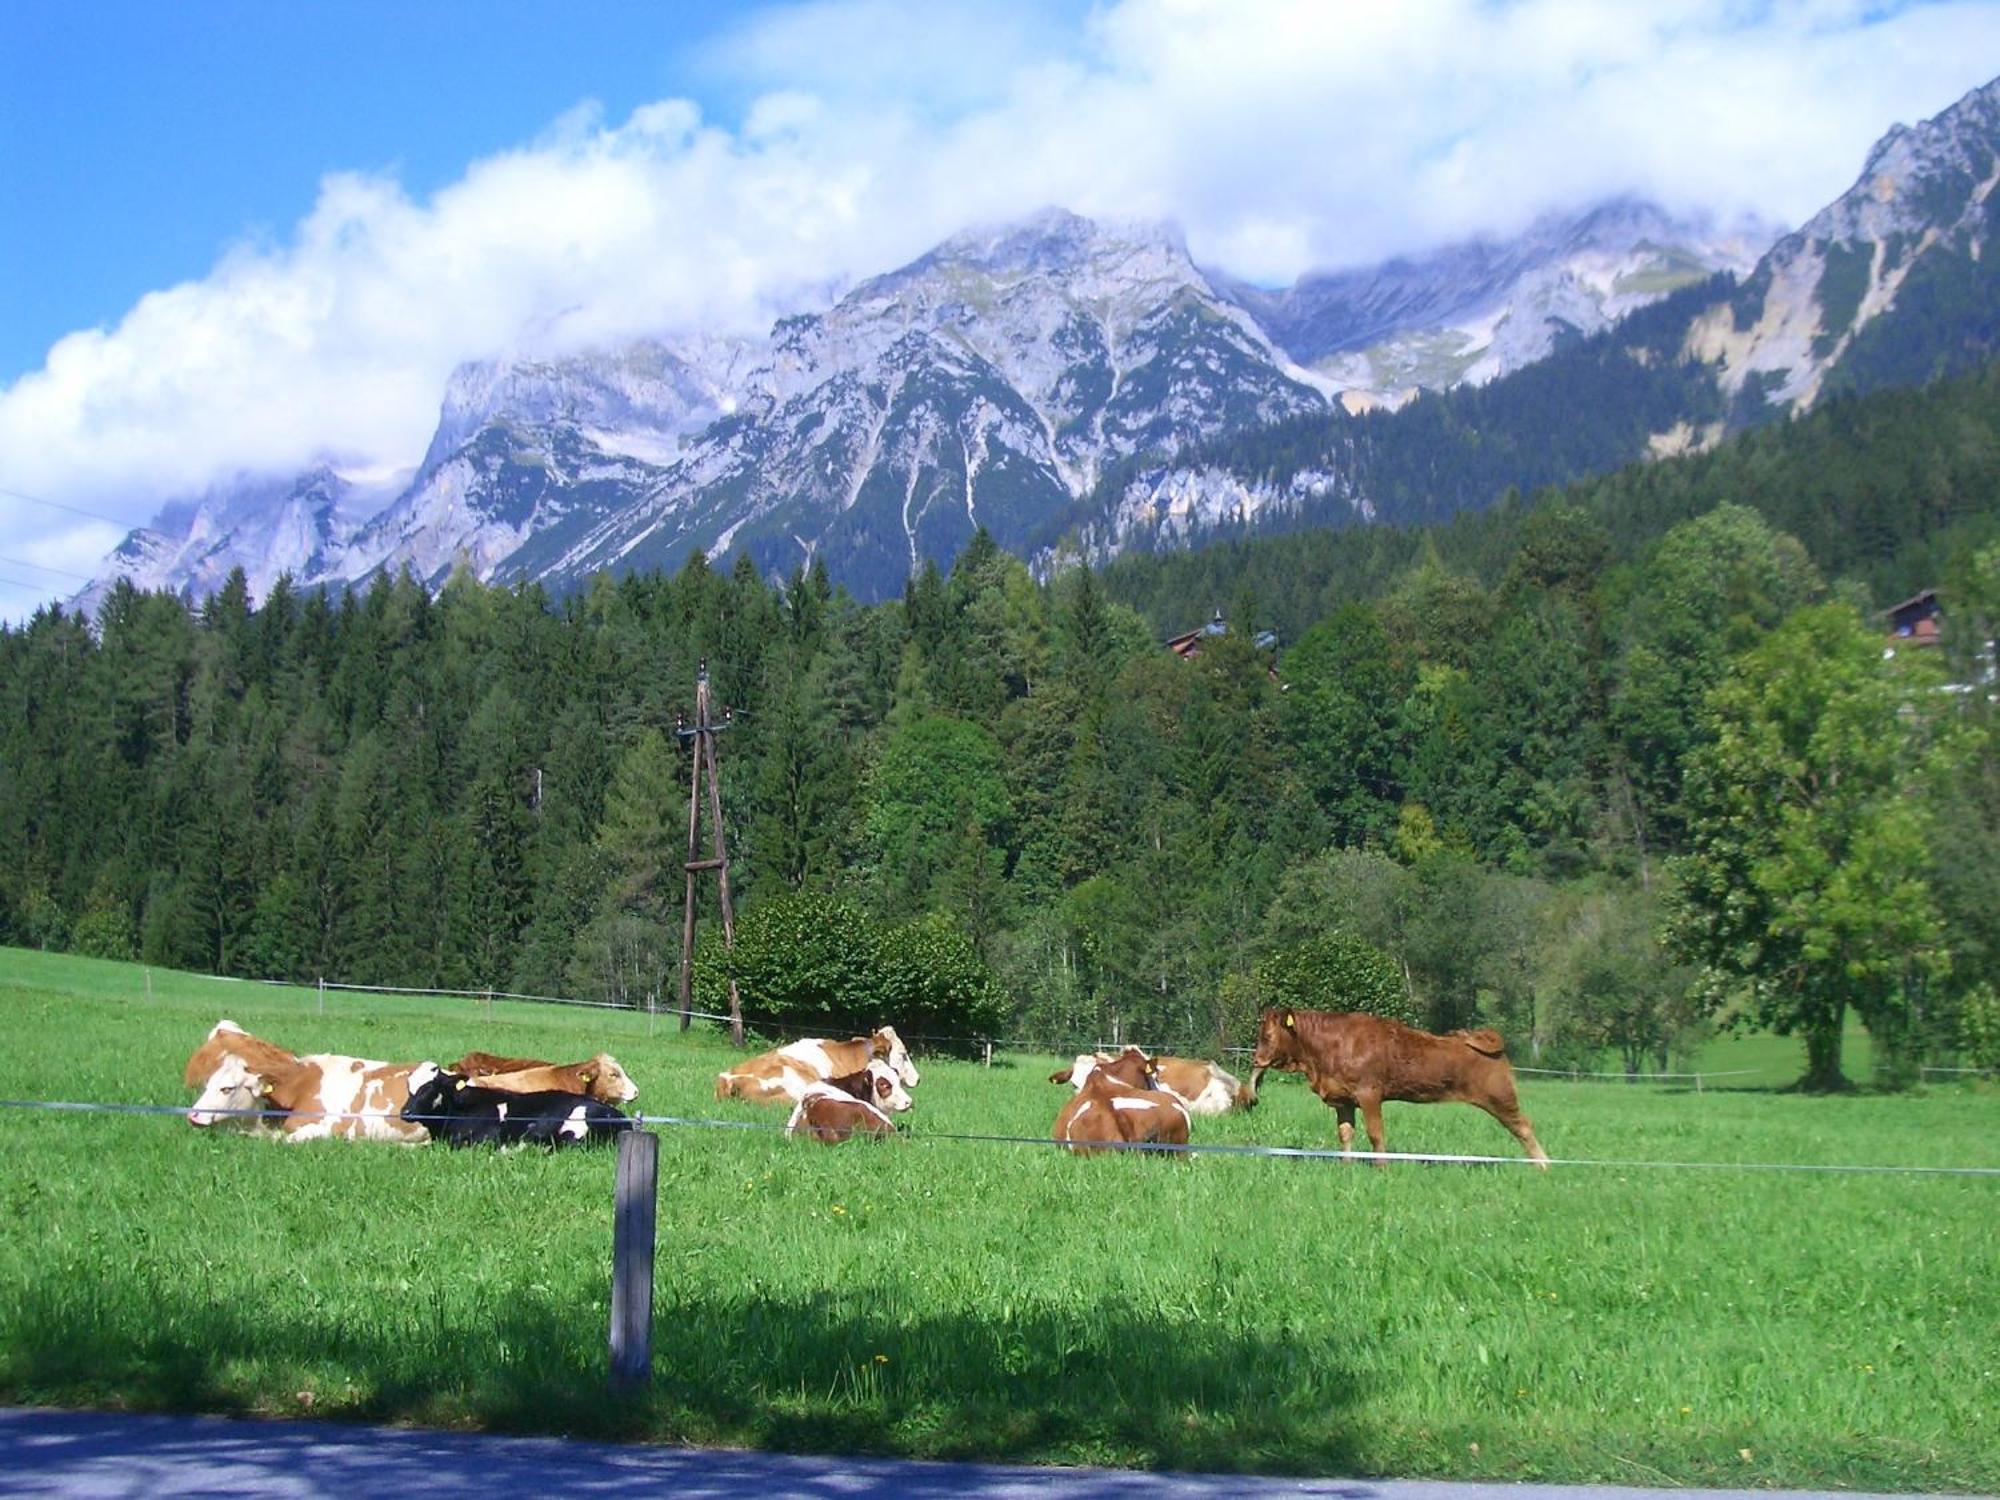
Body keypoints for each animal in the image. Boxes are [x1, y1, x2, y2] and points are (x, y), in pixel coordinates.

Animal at [1248, 1012, 1544, 1176]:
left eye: (1268, 1036)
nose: (1257, 1059)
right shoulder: (1344, 1100)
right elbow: (1345, 1133)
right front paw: (1345, 1165)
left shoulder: (1369, 1094)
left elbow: (1375, 1134)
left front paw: (1381, 1168)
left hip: (1500, 1097)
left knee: (1524, 1127)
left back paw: (1543, 1166)